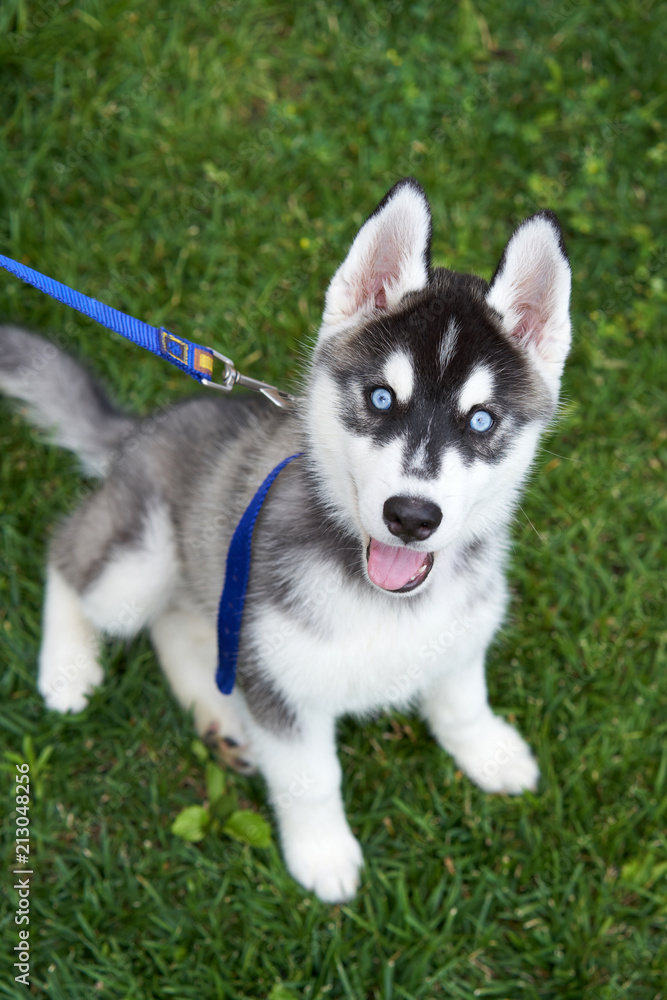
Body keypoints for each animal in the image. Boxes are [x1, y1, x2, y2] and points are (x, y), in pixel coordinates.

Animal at [1, 182, 576, 908]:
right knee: (69, 554)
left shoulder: (457, 630)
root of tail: (143, 427)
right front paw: (323, 853)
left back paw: (219, 718)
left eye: (480, 421)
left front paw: (490, 751)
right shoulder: (277, 682)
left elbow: (462, 701)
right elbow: (309, 778)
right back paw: (67, 668)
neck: (382, 599)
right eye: (380, 398)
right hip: (140, 559)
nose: (411, 516)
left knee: (177, 625)